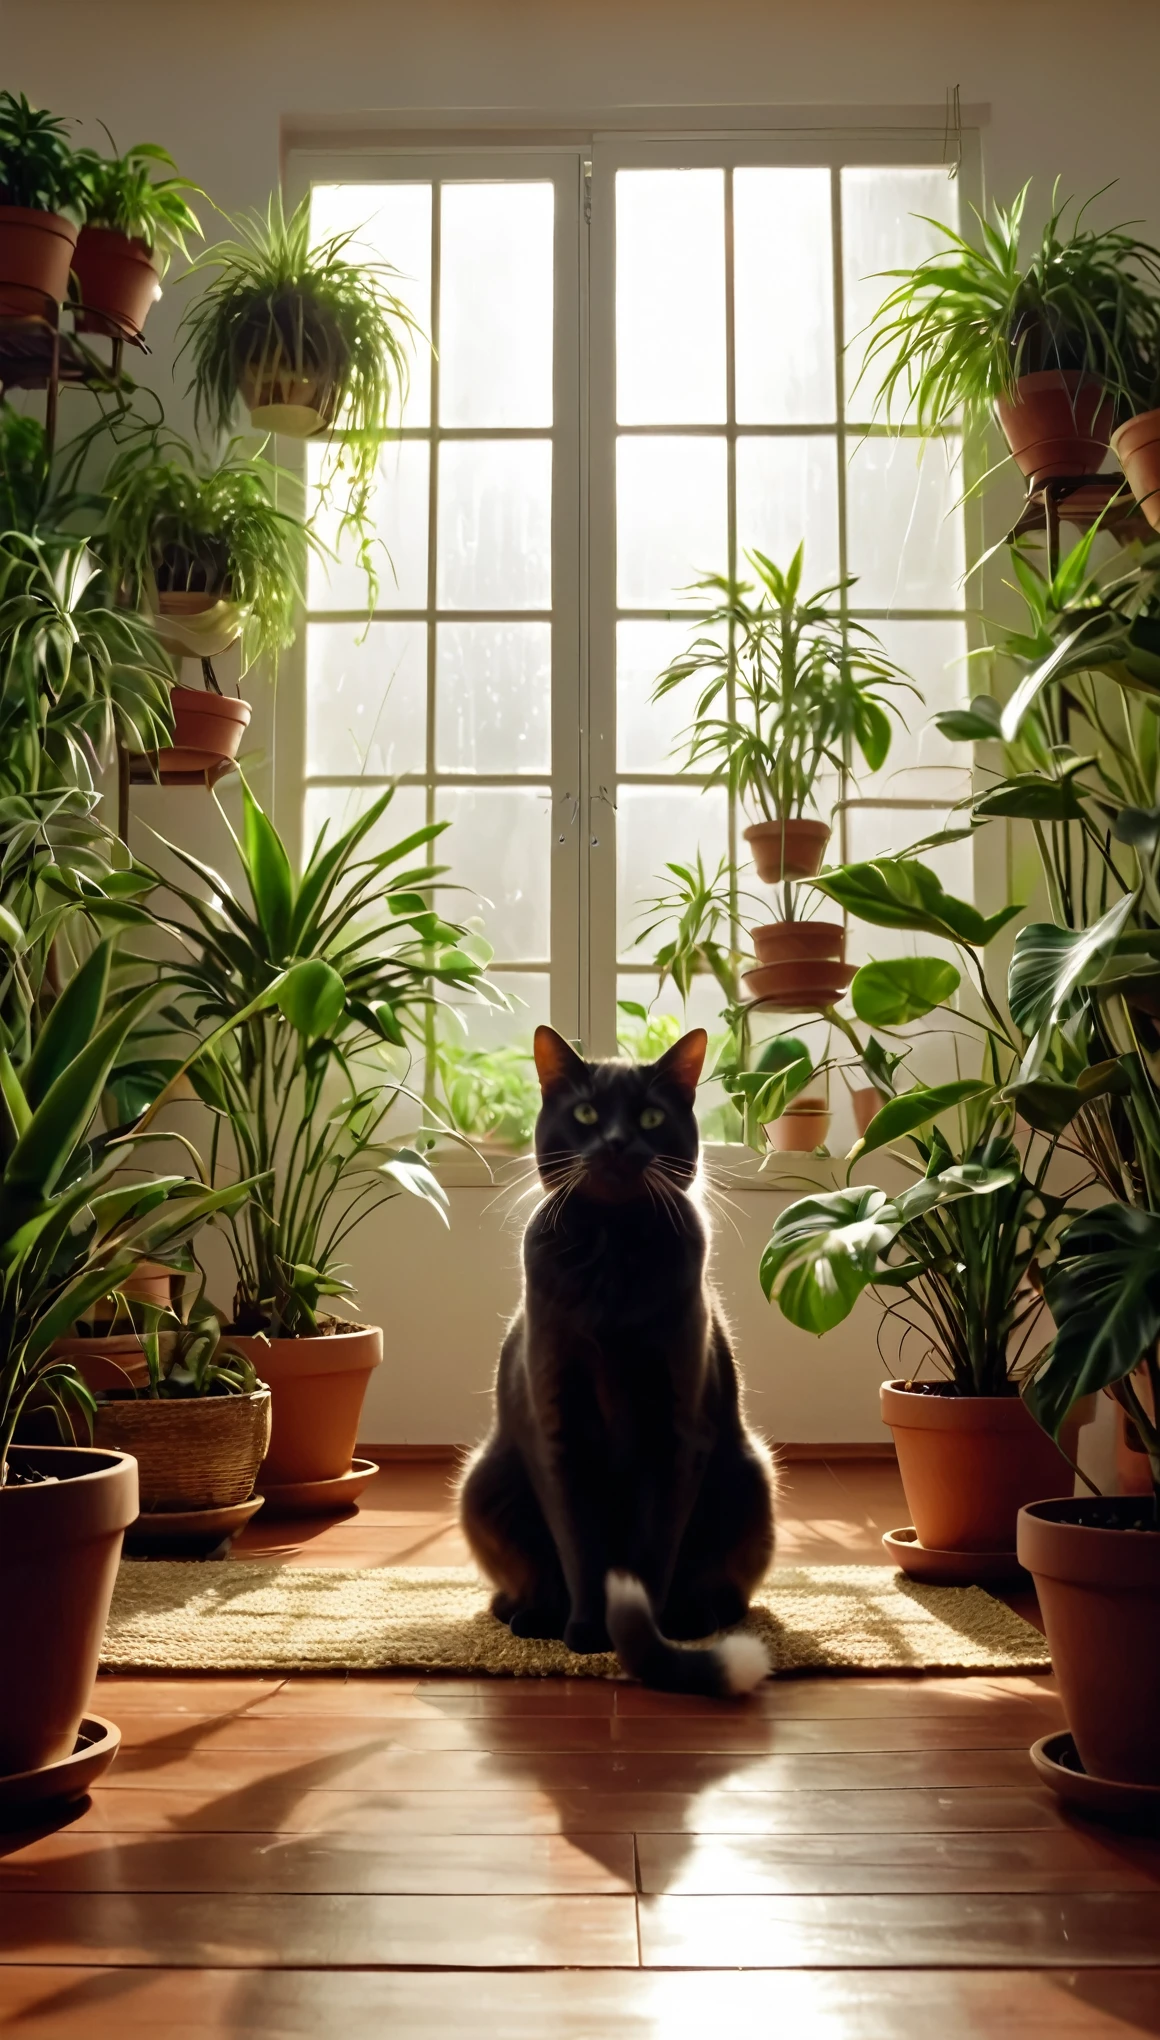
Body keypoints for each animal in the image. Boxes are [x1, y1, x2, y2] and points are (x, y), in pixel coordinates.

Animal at [456, 1028, 774, 1697]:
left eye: (651, 1116)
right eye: (585, 1114)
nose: (617, 1141)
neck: (613, 1247)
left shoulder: (678, 1428)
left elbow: (655, 1546)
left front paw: (644, 1636)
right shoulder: (558, 1422)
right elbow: (579, 1540)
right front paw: (585, 1633)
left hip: (749, 1479)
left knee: (723, 1586)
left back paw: (692, 1614)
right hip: (484, 1482)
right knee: (526, 1578)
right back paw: (531, 1615)